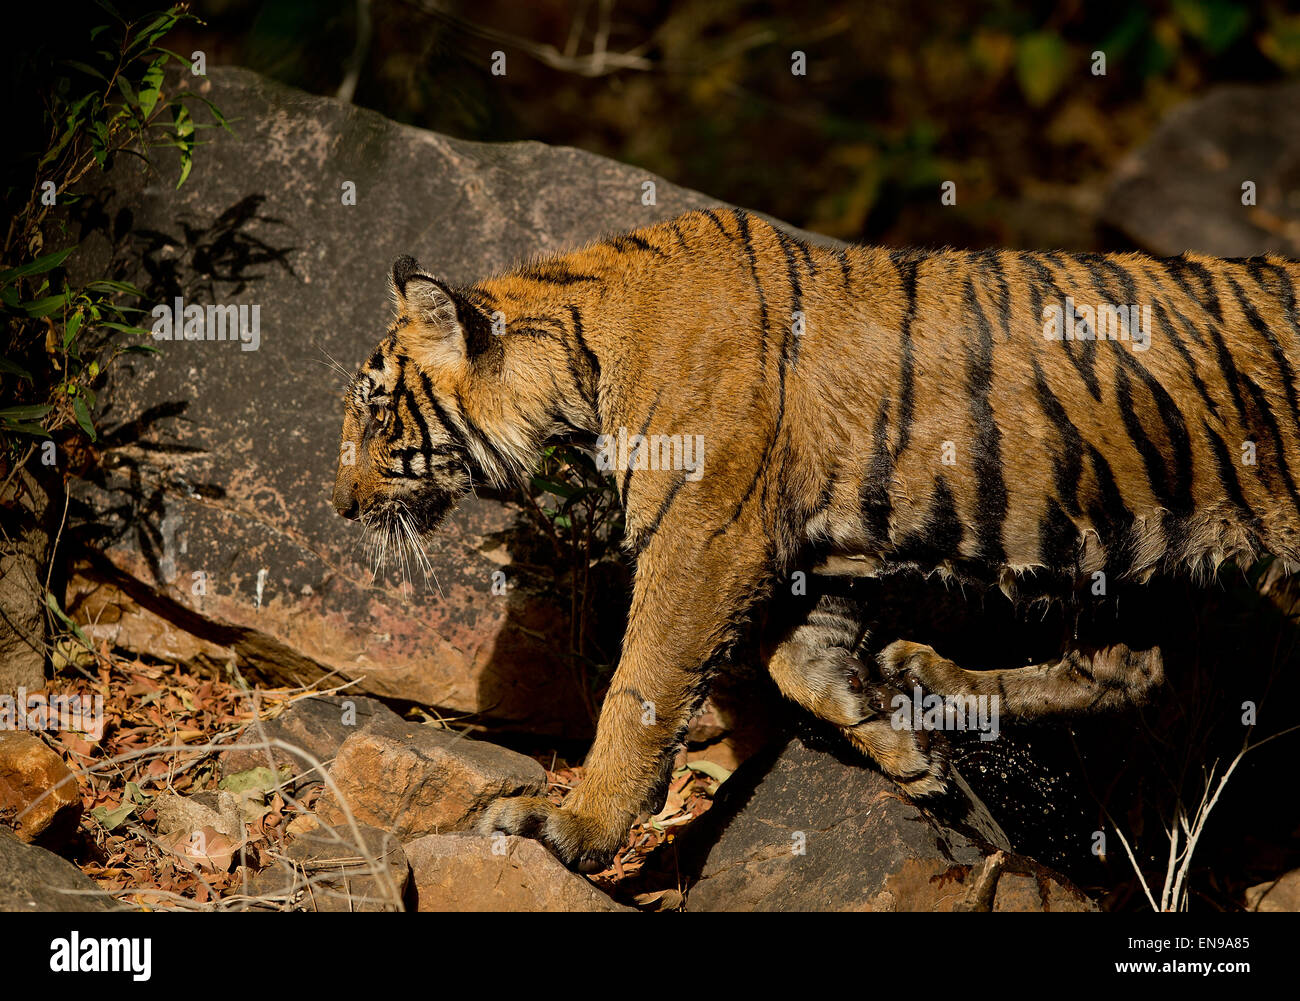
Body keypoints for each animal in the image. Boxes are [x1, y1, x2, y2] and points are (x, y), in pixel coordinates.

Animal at [330, 206, 1300, 868]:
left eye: (376, 411)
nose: (340, 504)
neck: (578, 361)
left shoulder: (704, 542)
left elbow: (640, 692)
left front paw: (571, 826)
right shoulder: (832, 544)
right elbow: (796, 661)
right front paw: (901, 745)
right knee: (1133, 666)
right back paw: (930, 678)